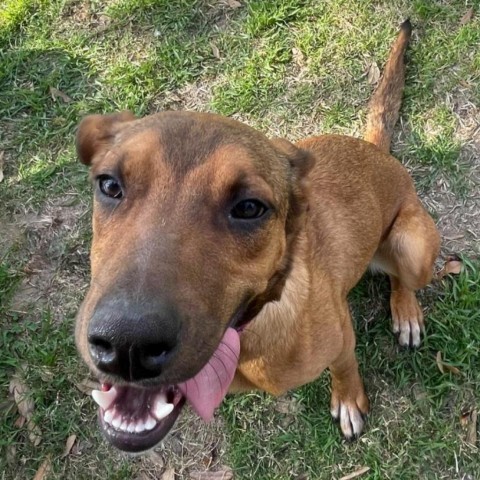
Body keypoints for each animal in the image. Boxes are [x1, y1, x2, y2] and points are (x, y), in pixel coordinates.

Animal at [74, 19, 438, 454]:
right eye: (109, 185)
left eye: (249, 208)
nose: (127, 346)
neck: (251, 332)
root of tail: (376, 151)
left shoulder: (342, 339)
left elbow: (346, 367)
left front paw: (349, 399)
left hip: (412, 246)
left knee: (404, 278)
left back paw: (406, 311)